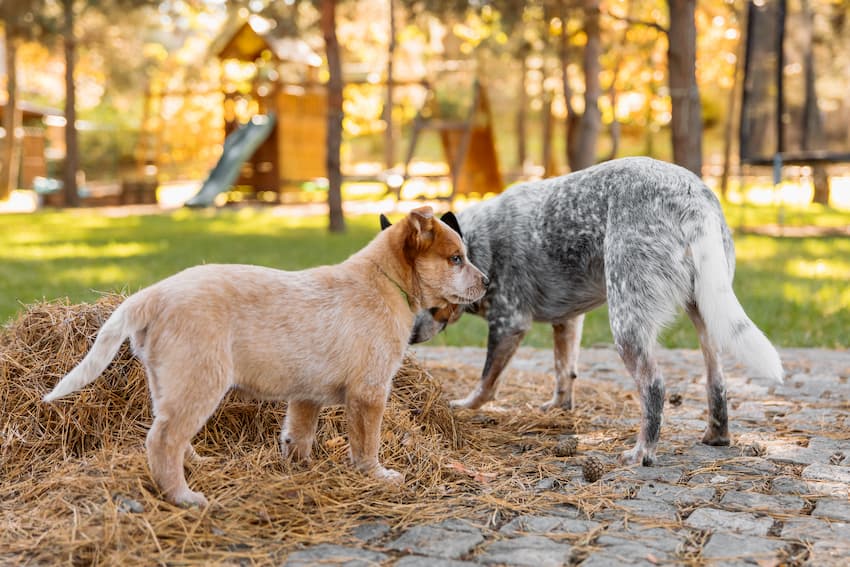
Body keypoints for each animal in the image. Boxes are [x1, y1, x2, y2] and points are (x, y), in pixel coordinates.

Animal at [44, 207, 484, 506]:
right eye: (455, 258)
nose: (487, 283)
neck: (385, 282)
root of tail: (152, 294)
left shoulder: (306, 395)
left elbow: (299, 433)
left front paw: (300, 467)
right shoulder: (370, 392)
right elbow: (366, 442)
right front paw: (376, 475)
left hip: (166, 383)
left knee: (170, 433)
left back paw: (197, 467)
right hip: (200, 381)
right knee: (162, 439)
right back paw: (183, 495)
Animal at [410, 155, 780, 466]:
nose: (409, 336)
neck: (476, 245)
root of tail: (690, 197)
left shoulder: (509, 322)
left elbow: (487, 381)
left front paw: (464, 407)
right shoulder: (568, 320)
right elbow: (564, 370)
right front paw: (559, 409)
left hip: (627, 321)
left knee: (654, 386)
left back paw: (643, 451)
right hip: (706, 310)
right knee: (716, 381)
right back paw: (717, 435)